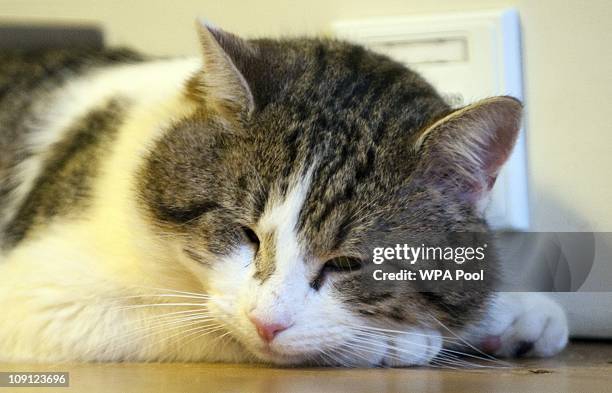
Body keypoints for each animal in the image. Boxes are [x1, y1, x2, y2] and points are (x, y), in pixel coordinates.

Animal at [0, 22, 568, 364]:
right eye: (245, 234)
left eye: (346, 263)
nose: (268, 323)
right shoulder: (34, 299)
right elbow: (202, 324)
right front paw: (393, 339)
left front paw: (509, 311)